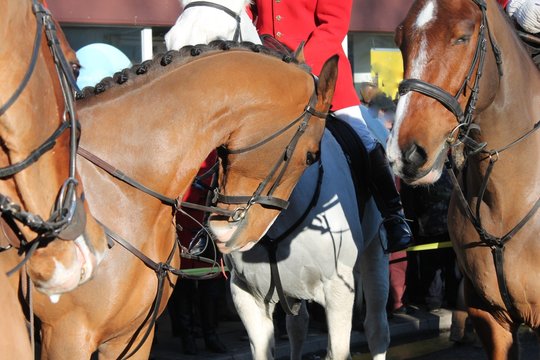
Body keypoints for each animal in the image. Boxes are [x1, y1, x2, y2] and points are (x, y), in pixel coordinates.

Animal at [167, 1, 390, 358]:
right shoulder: (246, 295)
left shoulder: (339, 293)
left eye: (216, 43)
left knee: (376, 328)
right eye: (169, 41)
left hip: (374, 255)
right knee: (298, 327)